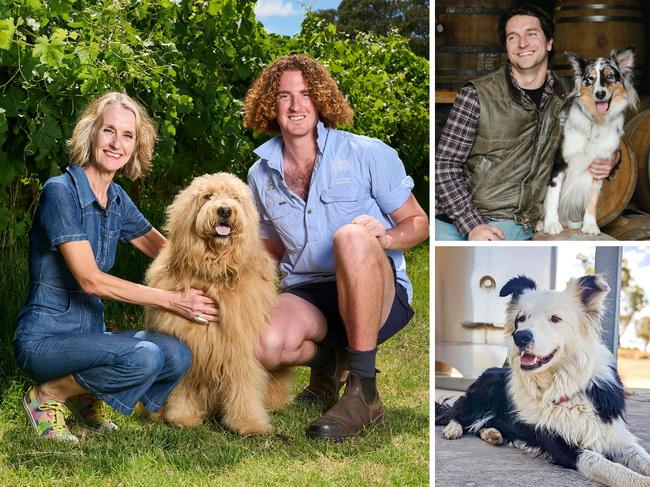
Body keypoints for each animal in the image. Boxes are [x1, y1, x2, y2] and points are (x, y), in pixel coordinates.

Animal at [147, 173, 292, 436]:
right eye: (208, 196)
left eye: (234, 197)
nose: (224, 210)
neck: (215, 270)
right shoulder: (191, 346)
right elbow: (184, 390)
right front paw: (182, 417)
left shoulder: (241, 351)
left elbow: (243, 390)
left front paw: (249, 423)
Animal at [432, 276, 650, 486]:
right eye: (521, 319)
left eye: (555, 319)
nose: (520, 337)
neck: (565, 387)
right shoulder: (565, 448)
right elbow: (611, 467)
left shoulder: (615, 435)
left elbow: (641, 458)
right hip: (481, 398)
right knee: (454, 413)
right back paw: (453, 429)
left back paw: (493, 434)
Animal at [536, 48, 636, 236]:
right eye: (590, 78)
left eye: (610, 76)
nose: (600, 94)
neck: (595, 123)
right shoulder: (559, 164)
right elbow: (553, 196)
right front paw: (551, 224)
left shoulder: (599, 167)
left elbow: (593, 200)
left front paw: (590, 225)